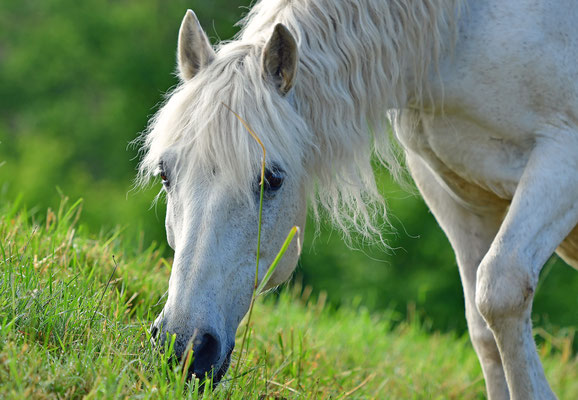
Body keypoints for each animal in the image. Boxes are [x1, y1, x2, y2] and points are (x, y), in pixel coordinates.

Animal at [137, 1, 572, 398]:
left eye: (271, 179)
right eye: (165, 175)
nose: (183, 348)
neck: (463, 26)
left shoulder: (561, 160)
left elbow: (501, 291)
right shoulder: (454, 194)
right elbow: (484, 332)